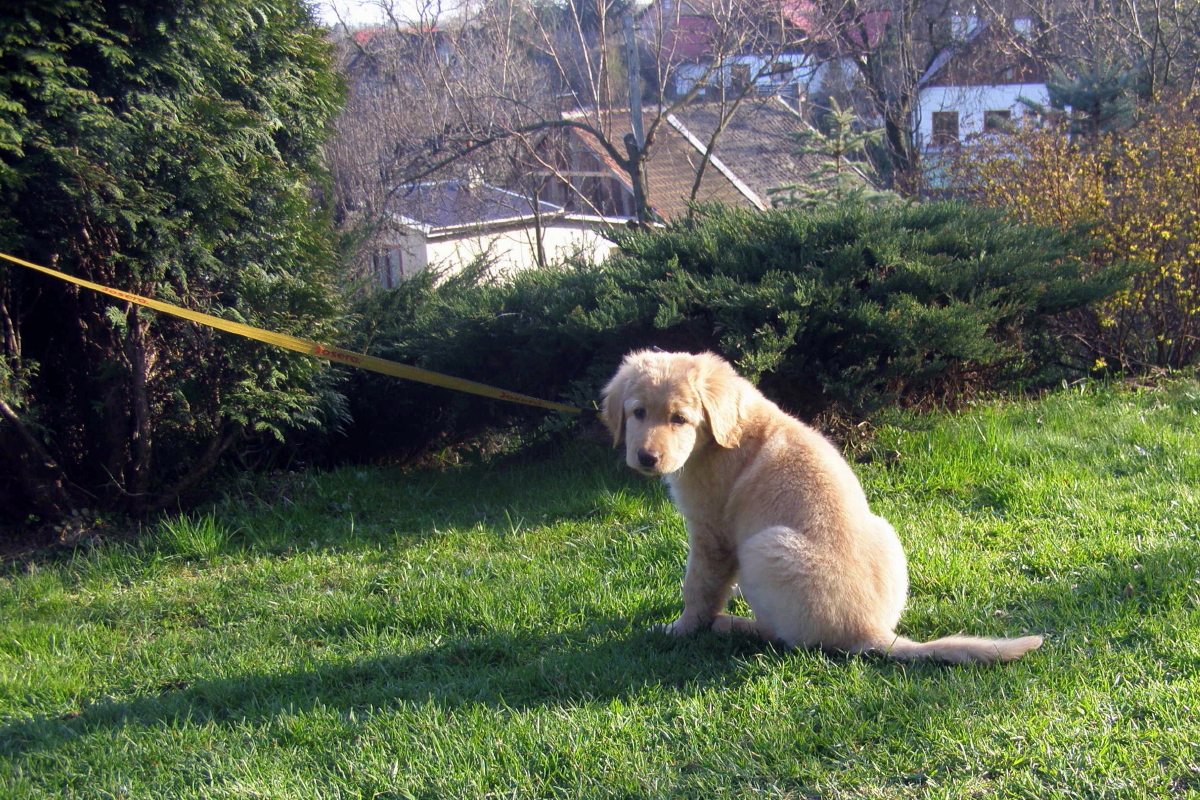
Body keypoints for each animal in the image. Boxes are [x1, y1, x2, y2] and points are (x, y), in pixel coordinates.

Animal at [601, 350, 1043, 663]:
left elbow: (699, 587)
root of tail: (870, 634)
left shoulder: (712, 533)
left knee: (786, 640)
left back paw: (730, 625)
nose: (646, 458)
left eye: (679, 419)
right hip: (884, 529)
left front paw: (681, 629)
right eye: (638, 412)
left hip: (763, 548)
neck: (724, 432)